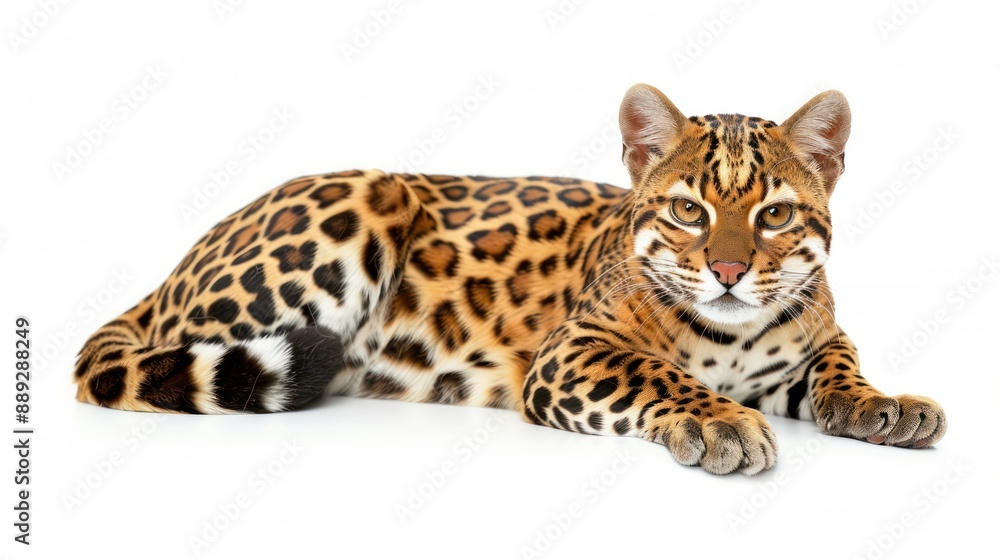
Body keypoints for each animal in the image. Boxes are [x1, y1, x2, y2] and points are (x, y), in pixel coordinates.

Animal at [74, 83, 947, 475]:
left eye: (774, 215)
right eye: (688, 211)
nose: (728, 271)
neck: (734, 336)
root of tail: (177, 265)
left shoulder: (813, 337)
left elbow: (838, 364)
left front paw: (886, 405)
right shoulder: (574, 351)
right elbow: (661, 373)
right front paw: (719, 421)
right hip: (361, 198)